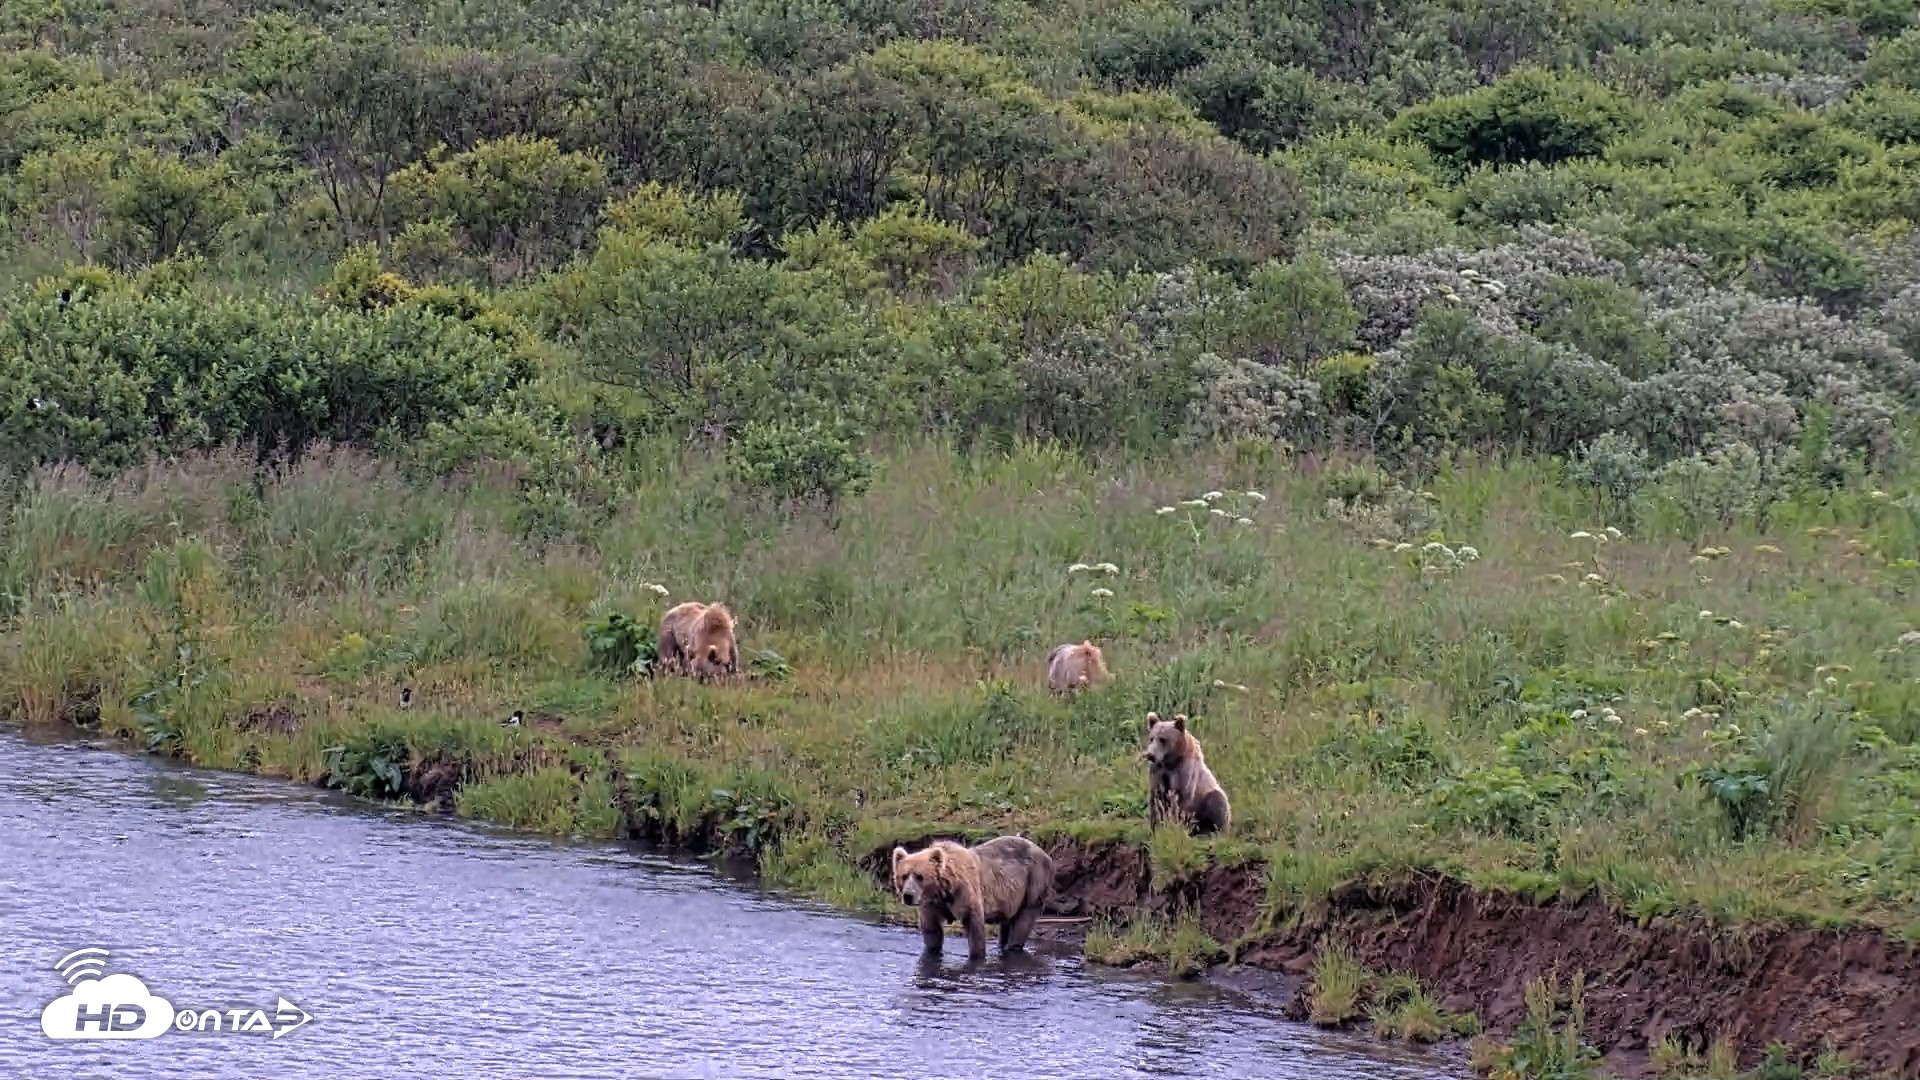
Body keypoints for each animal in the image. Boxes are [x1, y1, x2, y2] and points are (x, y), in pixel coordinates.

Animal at [890, 835, 1055, 961]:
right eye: (904, 876)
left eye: (920, 876)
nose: (908, 895)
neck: (944, 889)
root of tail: (1047, 855)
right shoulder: (931, 903)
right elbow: (932, 931)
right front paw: (932, 952)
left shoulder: (966, 892)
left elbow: (974, 926)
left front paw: (976, 955)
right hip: (1013, 897)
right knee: (1007, 924)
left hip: (1034, 882)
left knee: (1023, 922)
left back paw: (1013, 946)